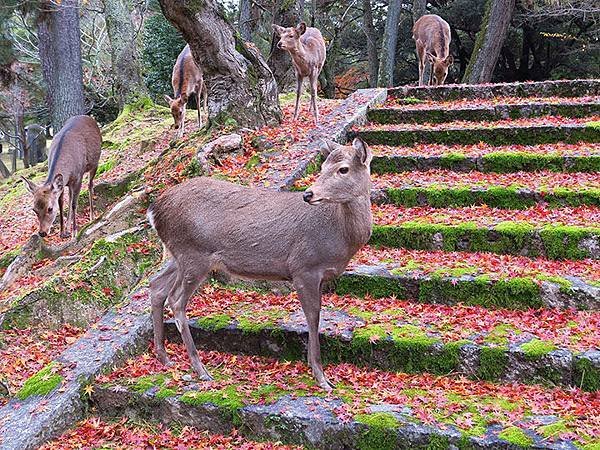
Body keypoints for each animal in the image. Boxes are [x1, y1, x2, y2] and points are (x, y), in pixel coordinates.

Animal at [146, 137, 370, 390]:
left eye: (343, 169)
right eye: (322, 168)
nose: (308, 194)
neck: (340, 236)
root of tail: (154, 211)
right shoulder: (304, 267)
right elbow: (313, 317)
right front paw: (321, 377)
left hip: (178, 256)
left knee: (156, 286)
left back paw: (164, 357)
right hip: (194, 254)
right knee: (175, 300)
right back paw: (200, 369)